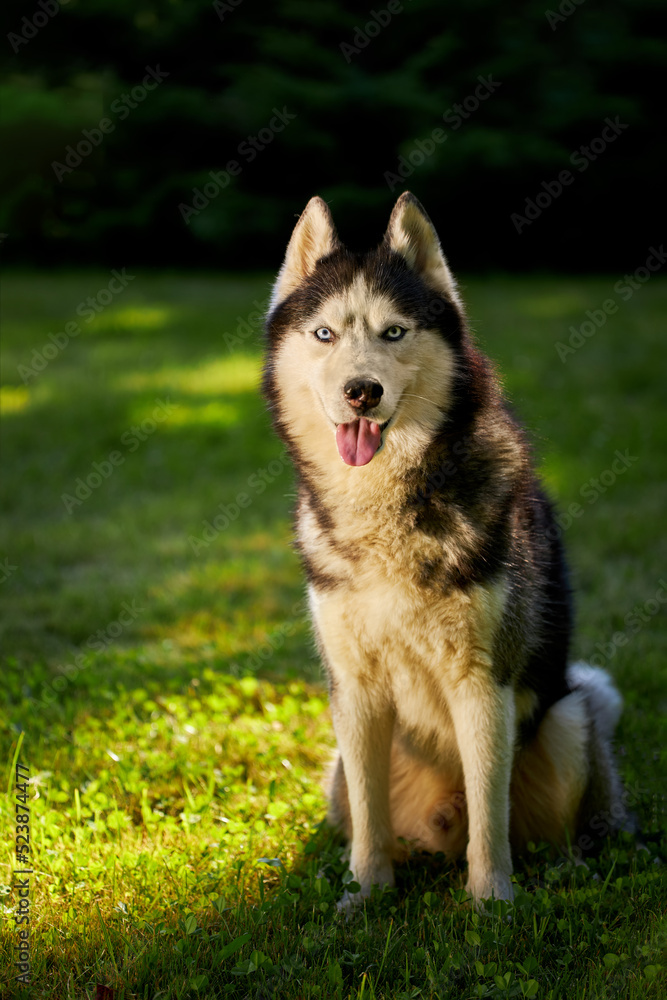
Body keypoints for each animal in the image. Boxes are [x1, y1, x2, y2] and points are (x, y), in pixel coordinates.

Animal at [264, 191, 628, 912]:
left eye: (393, 333)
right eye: (324, 335)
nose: (362, 391)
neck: (385, 508)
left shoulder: (482, 683)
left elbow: (490, 818)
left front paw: (492, 907)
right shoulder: (354, 689)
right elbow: (371, 821)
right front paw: (365, 895)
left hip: (569, 716)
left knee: (557, 830)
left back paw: (568, 870)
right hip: (338, 770)